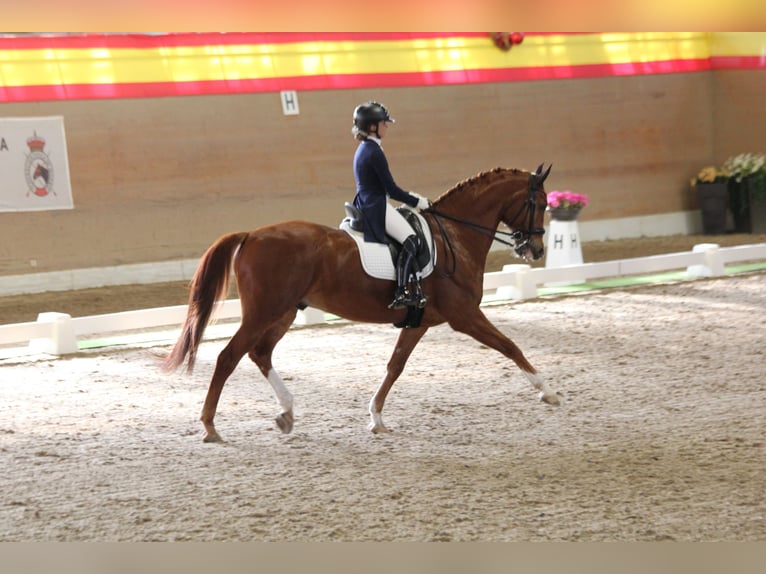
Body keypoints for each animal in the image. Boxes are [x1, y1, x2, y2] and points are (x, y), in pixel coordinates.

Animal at [163, 164, 562, 443]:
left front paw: (376, 418)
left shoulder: (419, 321)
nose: (535, 249)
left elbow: (394, 366)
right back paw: (210, 426)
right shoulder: (464, 316)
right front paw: (548, 391)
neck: (455, 237)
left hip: (284, 312)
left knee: (260, 354)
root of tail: (251, 234)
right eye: (540, 203)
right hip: (265, 312)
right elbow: (510, 346)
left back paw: (287, 413)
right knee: (228, 357)